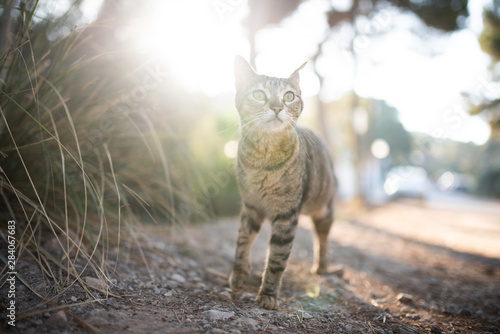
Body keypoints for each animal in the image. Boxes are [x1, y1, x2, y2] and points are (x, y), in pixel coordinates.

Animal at [229, 56, 336, 310]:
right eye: (259, 94)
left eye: (289, 96)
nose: (277, 107)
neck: (263, 157)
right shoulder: (250, 206)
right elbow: (242, 242)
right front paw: (238, 276)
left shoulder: (287, 214)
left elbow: (277, 259)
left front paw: (268, 295)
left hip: (324, 210)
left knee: (323, 239)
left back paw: (322, 267)